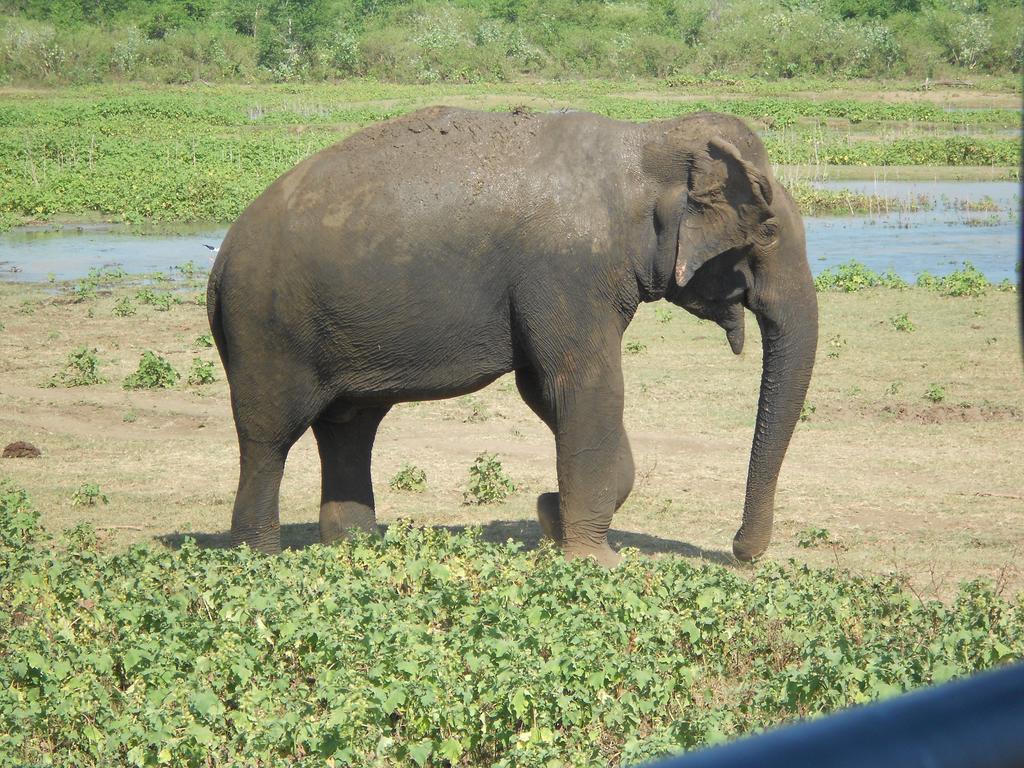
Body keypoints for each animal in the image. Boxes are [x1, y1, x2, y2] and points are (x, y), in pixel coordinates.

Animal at [205, 105, 815, 565]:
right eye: (768, 230)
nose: (741, 552)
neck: (645, 141)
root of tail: (220, 260)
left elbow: (543, 390)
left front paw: (552, 516)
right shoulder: (567, 269)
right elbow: (585, 386)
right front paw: (594, 560)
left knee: (349, 429)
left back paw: (356, 547)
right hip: (267, 329)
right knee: (269, 436)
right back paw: (260, 559)